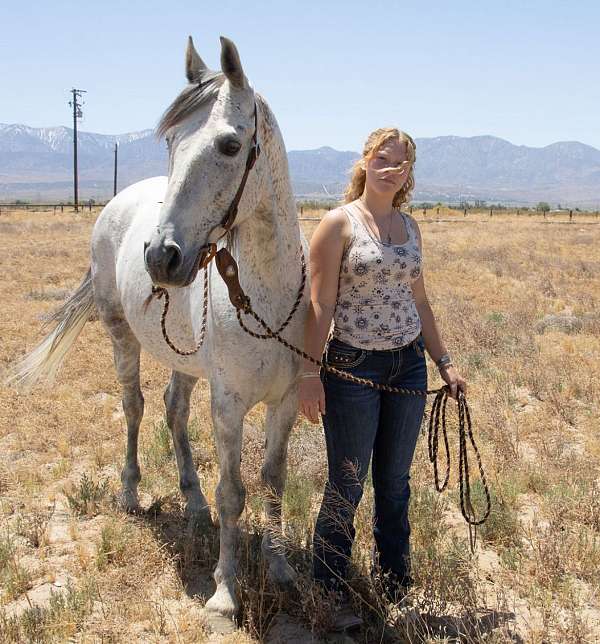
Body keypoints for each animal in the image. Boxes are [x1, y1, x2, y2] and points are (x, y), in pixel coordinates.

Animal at [11, 35, 308, 620]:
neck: (265, 297)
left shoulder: (283, 403)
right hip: (120, 336)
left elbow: (273, 481)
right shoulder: (228, 404)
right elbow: (233, 494)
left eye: (230, 146)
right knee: (135, 407)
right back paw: (130, 492)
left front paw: (281, 566)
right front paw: (224, 592)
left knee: (173, 410)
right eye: (171, 141)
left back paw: (190, 500)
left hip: (184, 359)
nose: (161, 257)